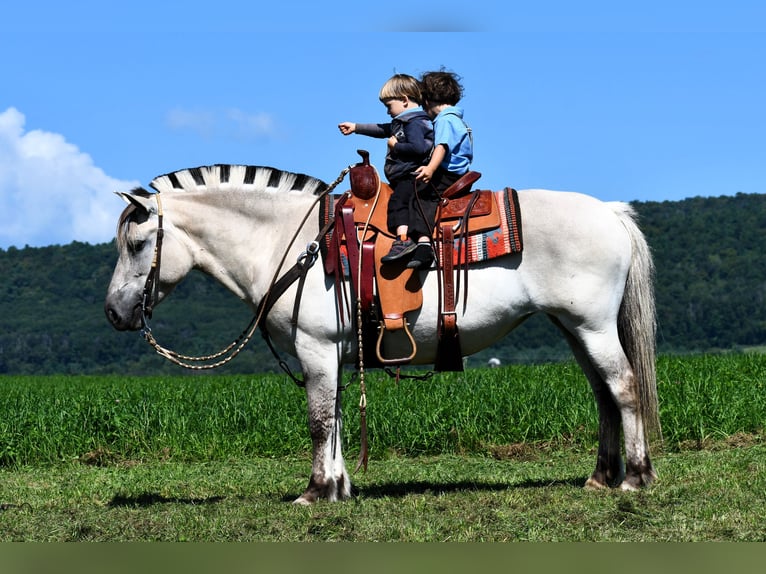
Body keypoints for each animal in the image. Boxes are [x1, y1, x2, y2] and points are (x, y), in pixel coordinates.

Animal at [105, 161, 664, 504]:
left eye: (136, 243)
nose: (114, 313)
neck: (290, 244)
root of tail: (610, 211)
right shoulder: (330, 354)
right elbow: (335, 420)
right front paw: (339, 487)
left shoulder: (315, 348)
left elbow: (319, 420)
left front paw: (314, 490)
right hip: (573, 328)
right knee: (603, 396)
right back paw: (600, 477)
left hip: (592, 326)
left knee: (624, 388)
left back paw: (635, 478)